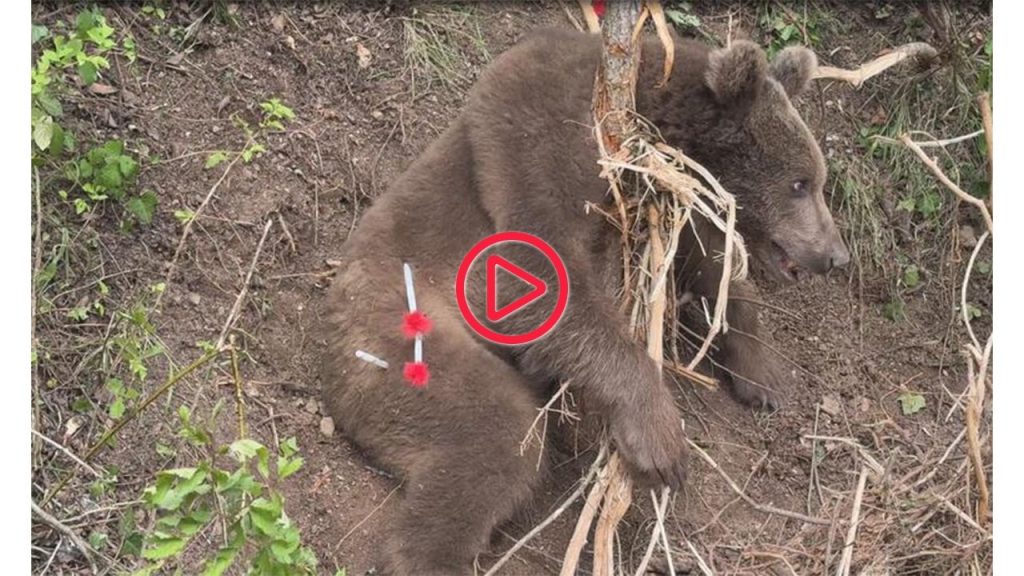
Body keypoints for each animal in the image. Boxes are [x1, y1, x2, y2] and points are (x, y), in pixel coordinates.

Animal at [321, 28, 847, 573]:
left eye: (817, 180)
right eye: (800, 183)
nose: (835, 255)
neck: (653, 120)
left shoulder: (671, 196)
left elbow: (711, 264)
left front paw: (763, 376)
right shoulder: (546, 134)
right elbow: (538, 275)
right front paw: (660, 438)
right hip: (397, 337)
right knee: (497, 435)